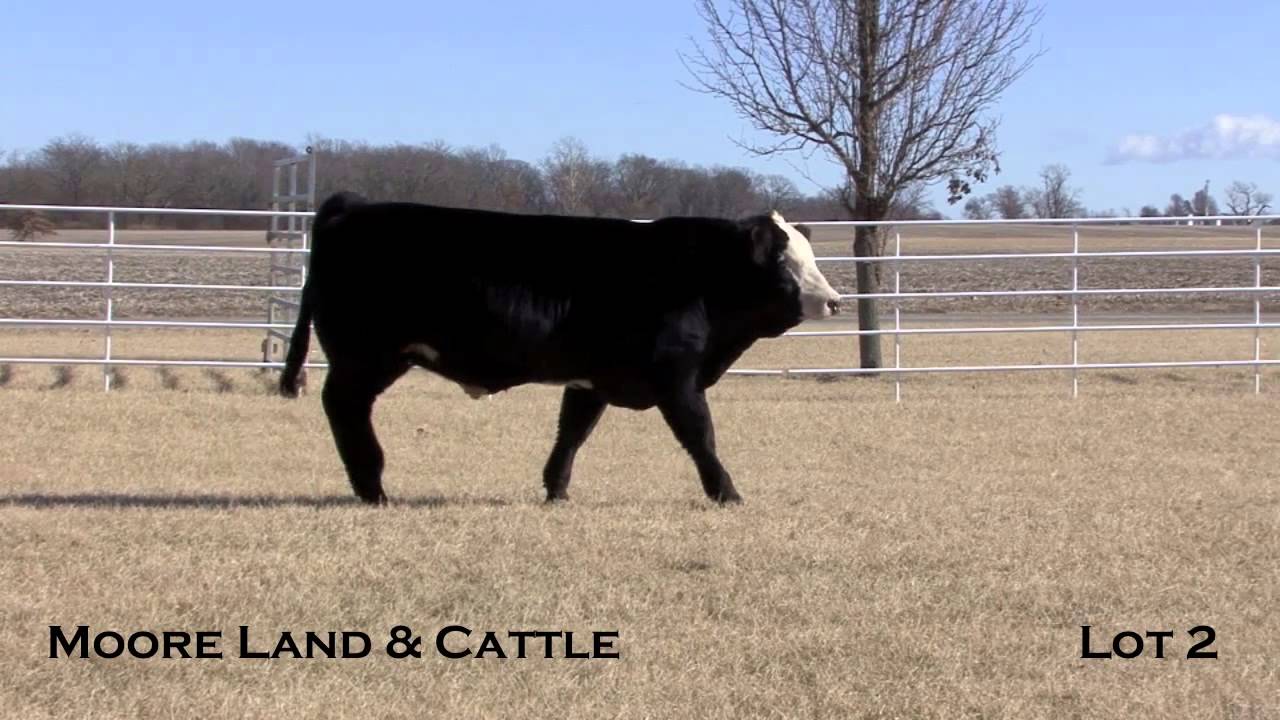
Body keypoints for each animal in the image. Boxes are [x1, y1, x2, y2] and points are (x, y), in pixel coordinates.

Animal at [279, 192, 841, 505]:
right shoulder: (677, 378)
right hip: (366, 356)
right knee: (343, 408)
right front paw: (728, 492)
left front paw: (556, 490)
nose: (835, 301)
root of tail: (354, 206)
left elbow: (572, 433)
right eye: (782, 259)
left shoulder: (593, 378)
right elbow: (700, 436)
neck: (699, 276)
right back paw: (373, 486)